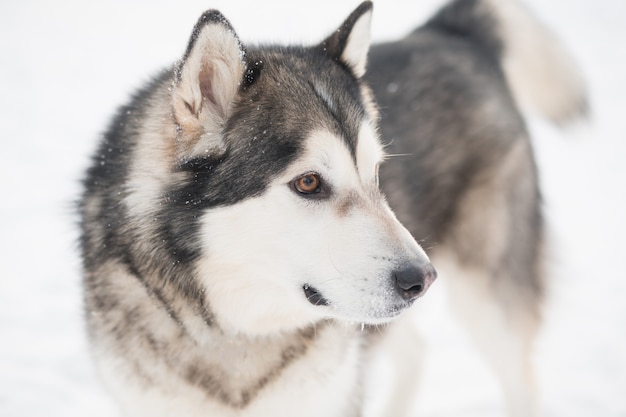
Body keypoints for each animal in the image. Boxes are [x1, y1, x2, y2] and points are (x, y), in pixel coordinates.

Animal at [80, 0, 584, 414]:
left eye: (375, 173)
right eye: (308, 182)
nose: (422, 279)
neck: (236, 329)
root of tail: (449, 30)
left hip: (489, 300)